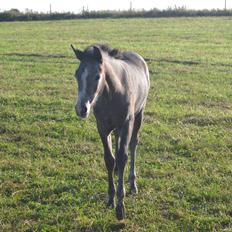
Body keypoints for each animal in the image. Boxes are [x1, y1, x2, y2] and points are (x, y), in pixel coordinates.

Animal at [71, 44, 150, 220]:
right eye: (76, 74)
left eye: (97, 76)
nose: (81, 109)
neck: (111, 94)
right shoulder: (102, 127)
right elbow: (109, 159)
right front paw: (110, 198)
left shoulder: (127, 123)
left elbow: (122, 158)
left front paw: (120, 206)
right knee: (116, 139)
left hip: (139, 114)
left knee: (133, 144)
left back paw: (132, 183)